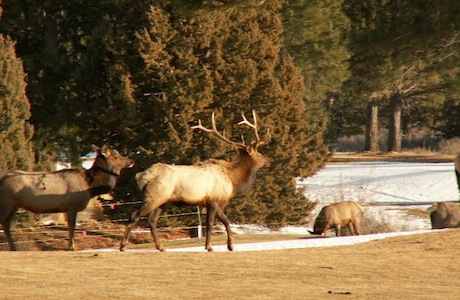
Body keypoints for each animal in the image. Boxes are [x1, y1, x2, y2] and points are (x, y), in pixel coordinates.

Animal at [0, 145, 134, 251]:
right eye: (116, 156)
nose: (131, 160)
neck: (91, 186)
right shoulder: (72, 205)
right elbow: (72, 227)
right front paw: (71, 247)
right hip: (6, 202)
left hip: (14, 206)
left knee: (6, 223)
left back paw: (13, 247)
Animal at [119, 109, 270, 251]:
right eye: (259, 154)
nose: (268, 160)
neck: (233, 181)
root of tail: (141, 175)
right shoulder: (214, 200)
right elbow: (210, 223)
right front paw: (209, 246)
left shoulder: (213, 202)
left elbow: (226, 221)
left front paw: (230, 245)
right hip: (154, 196)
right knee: (135, 215)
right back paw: (123, 245)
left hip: (162, 201)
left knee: (151, 220)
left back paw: (161, 247)